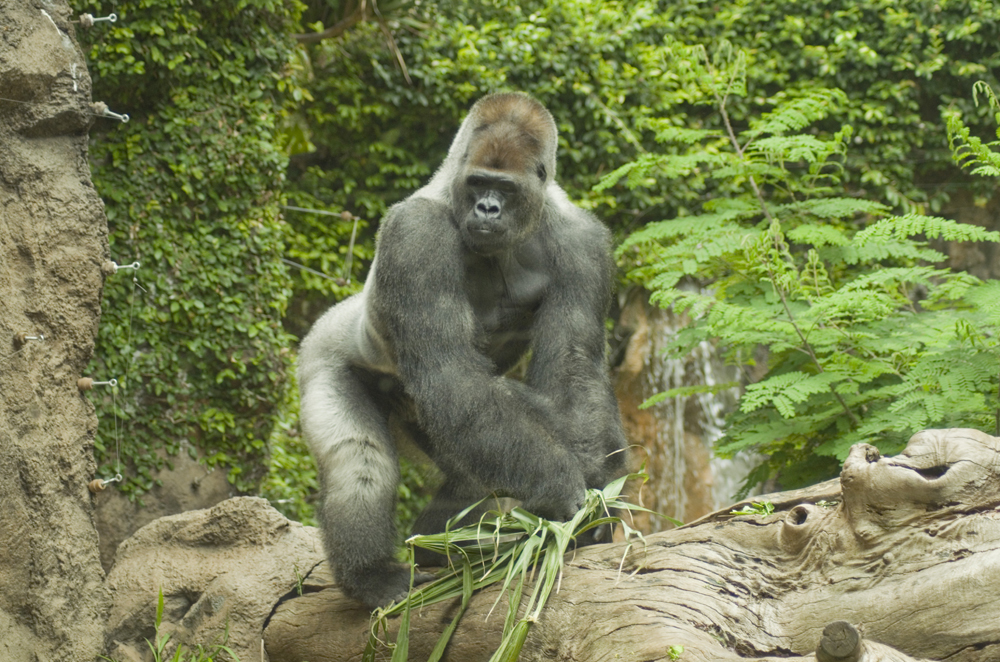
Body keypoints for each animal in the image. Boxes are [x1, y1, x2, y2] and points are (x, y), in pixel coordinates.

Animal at [294, 93, 624, 612]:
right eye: (477, 184)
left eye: (504, 188)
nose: (487, 209)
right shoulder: (415, 236)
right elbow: (448, 369)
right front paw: (559, 486)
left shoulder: (582, 242)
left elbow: (573, 366)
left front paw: (595, 504)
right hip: (321, 355)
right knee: (360, 460)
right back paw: (372, 577)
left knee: (481, 459)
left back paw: (440, 542)